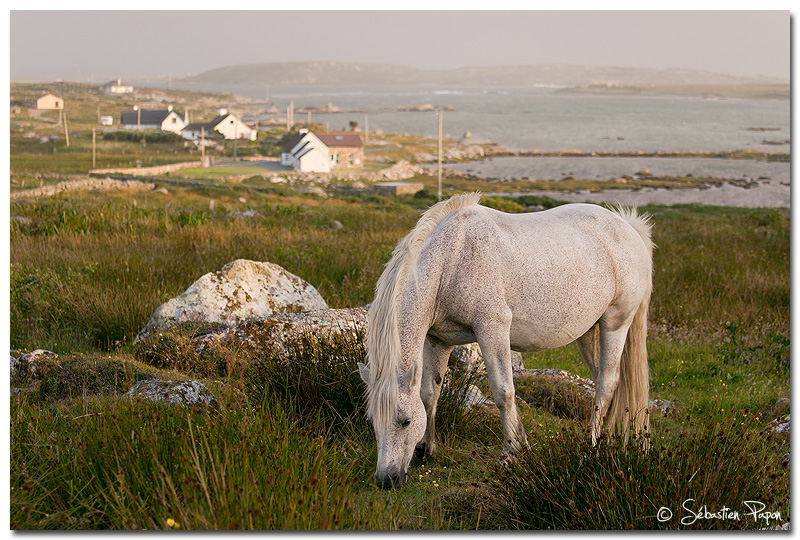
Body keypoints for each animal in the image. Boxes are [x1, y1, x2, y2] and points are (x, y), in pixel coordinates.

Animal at [360, 194, 652, 490]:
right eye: (372, 421)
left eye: (405, 421)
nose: (386, 479)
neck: (452, 259)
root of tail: (627, 226)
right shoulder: (437, 341)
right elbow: (429, 393)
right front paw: (425, 448)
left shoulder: (493, 329)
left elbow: (503, 392)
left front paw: (512, 453)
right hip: (589, 333)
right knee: (606, 383)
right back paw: (610, 441)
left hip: (616, 323)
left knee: (607, 383)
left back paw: (589, 448)